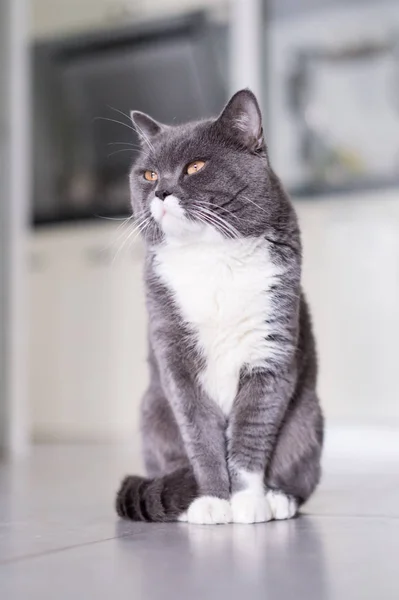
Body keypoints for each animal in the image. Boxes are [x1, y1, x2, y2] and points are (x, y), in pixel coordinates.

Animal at [114, 90, 324, 524]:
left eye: (195, 166)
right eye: (148, 175)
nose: (161, 192)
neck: (211, 259)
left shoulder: (270, 353)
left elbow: (250, 433)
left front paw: (247, 503)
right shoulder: (174, 360)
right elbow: (201, 436)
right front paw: (211, 501)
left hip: (308, 419)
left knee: (299, 476)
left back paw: (279, 498)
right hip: (151, 411)